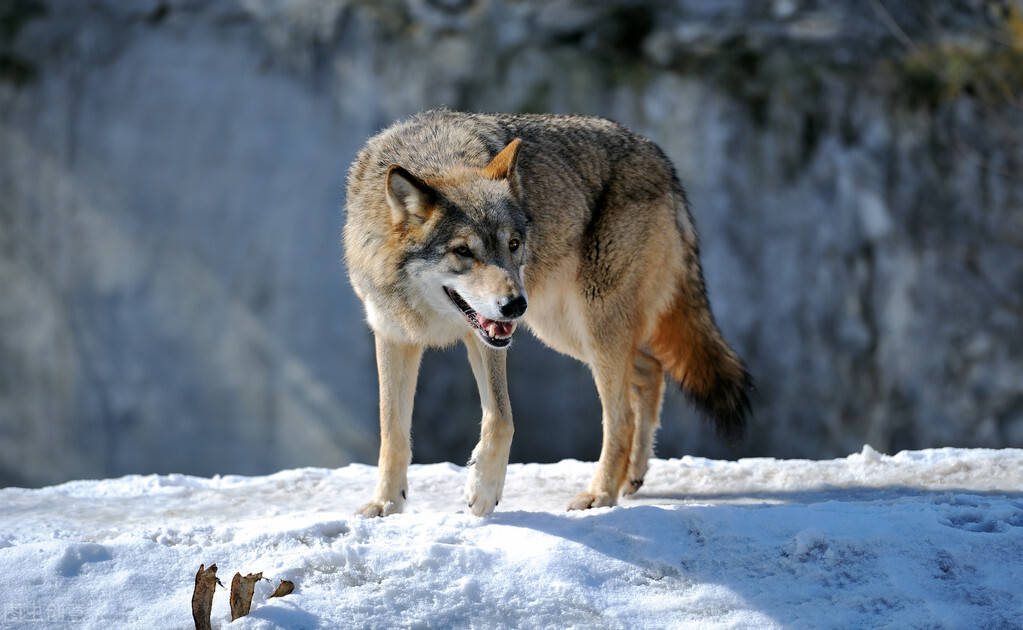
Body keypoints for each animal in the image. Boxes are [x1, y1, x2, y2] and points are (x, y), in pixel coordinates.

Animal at [343, 110, 752, 517]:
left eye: (513, 244)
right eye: (463, 251)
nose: (514, 305)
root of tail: (662, 160)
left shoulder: (488, 341)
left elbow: (501, 418)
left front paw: (483, 490)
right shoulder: (394, 335)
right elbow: (391, 431)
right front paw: (385, 503)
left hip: (590, 329)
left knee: (620, 418)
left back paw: (601, 493)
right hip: (565, 333)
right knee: (651, 371)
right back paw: (631, 478)